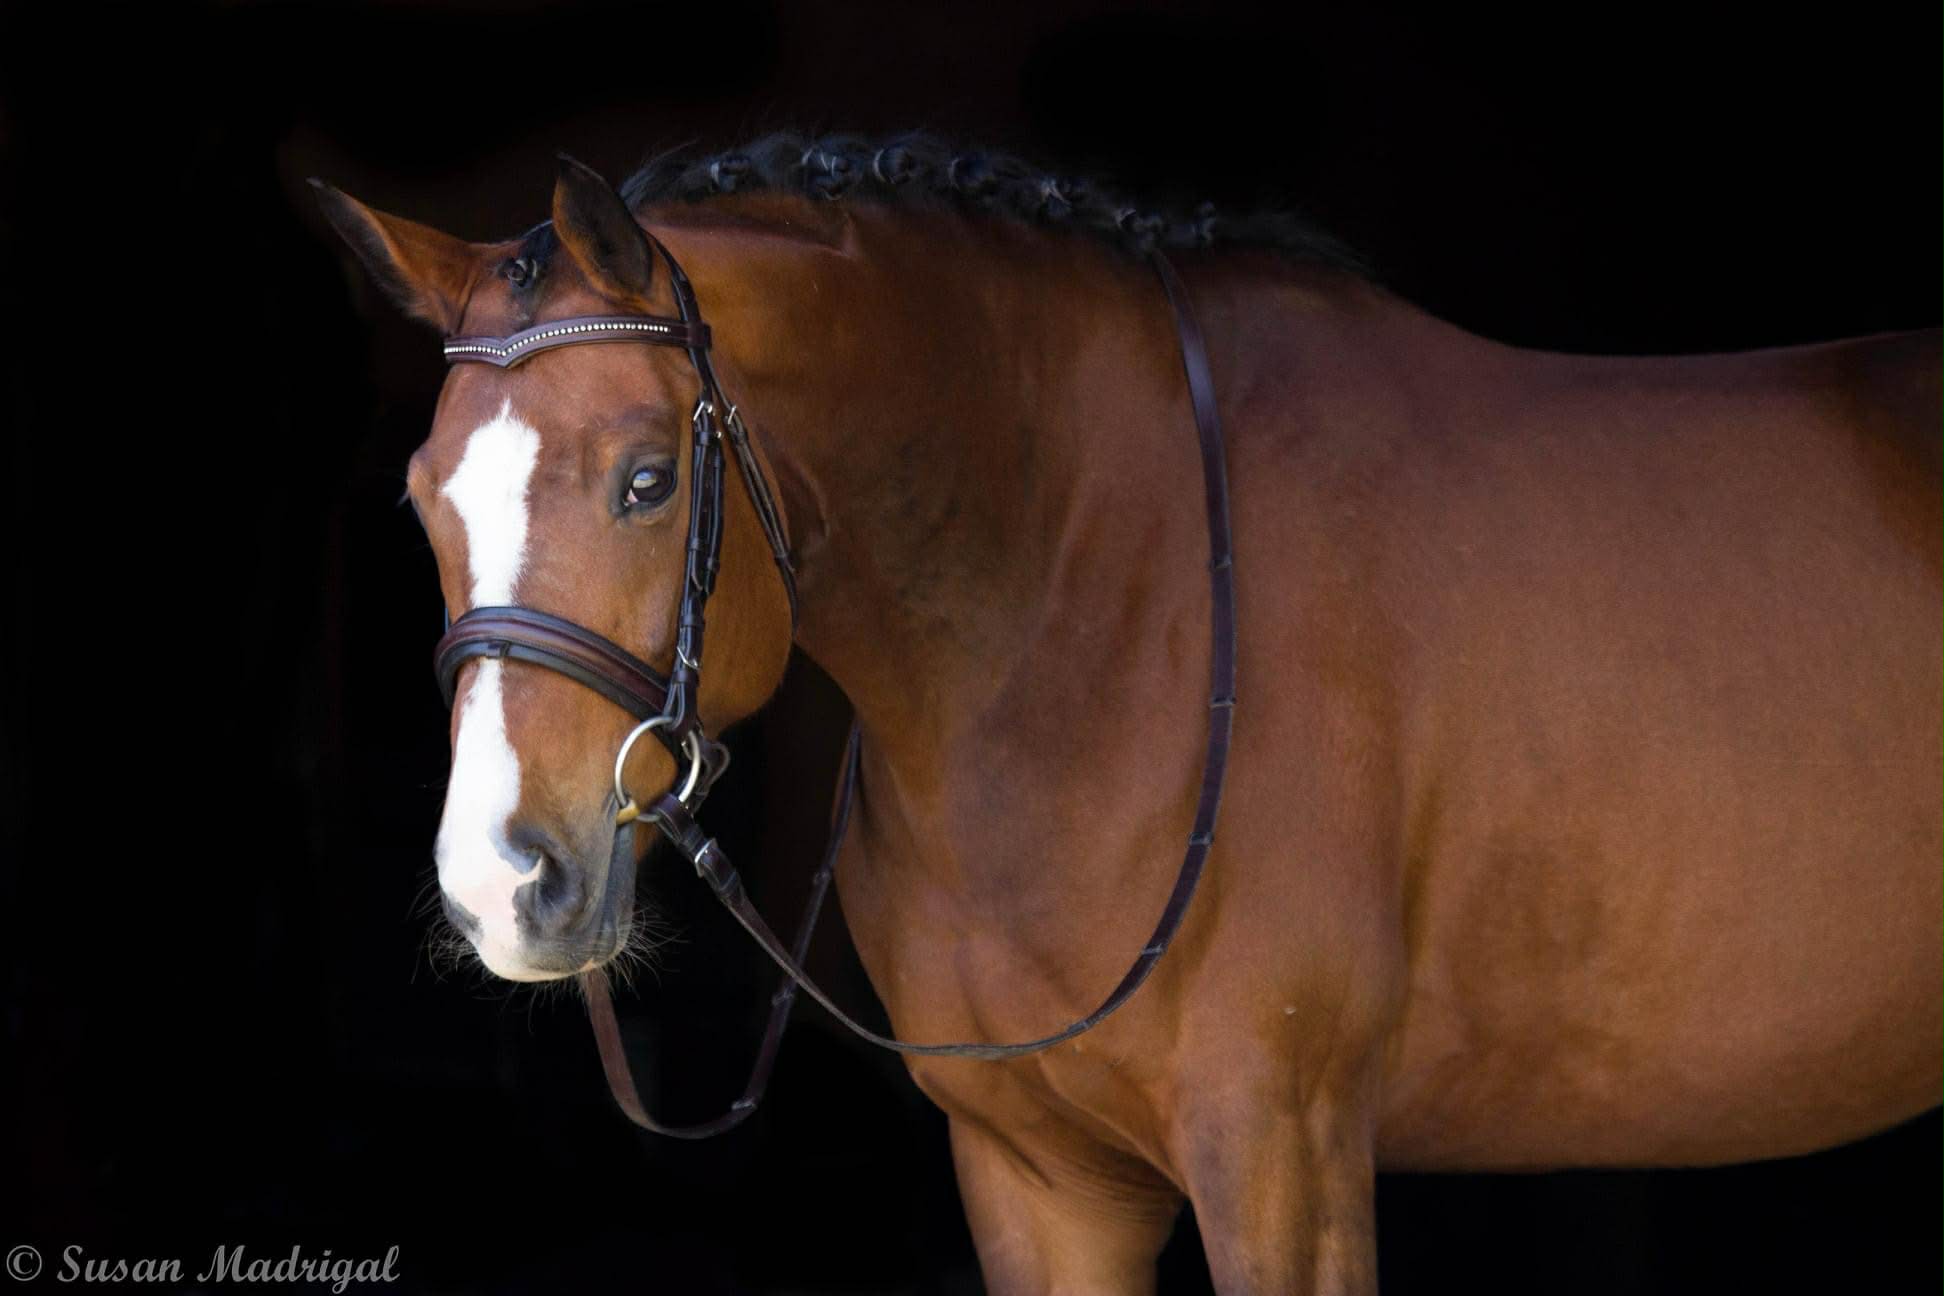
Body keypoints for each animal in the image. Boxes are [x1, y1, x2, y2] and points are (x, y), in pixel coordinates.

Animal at [315, 133, 1944, 1295]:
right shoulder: (1037, 1182)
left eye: (647, 480)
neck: (1093, 601)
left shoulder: (1279, 1156)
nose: (501, 881)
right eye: (421, 501)